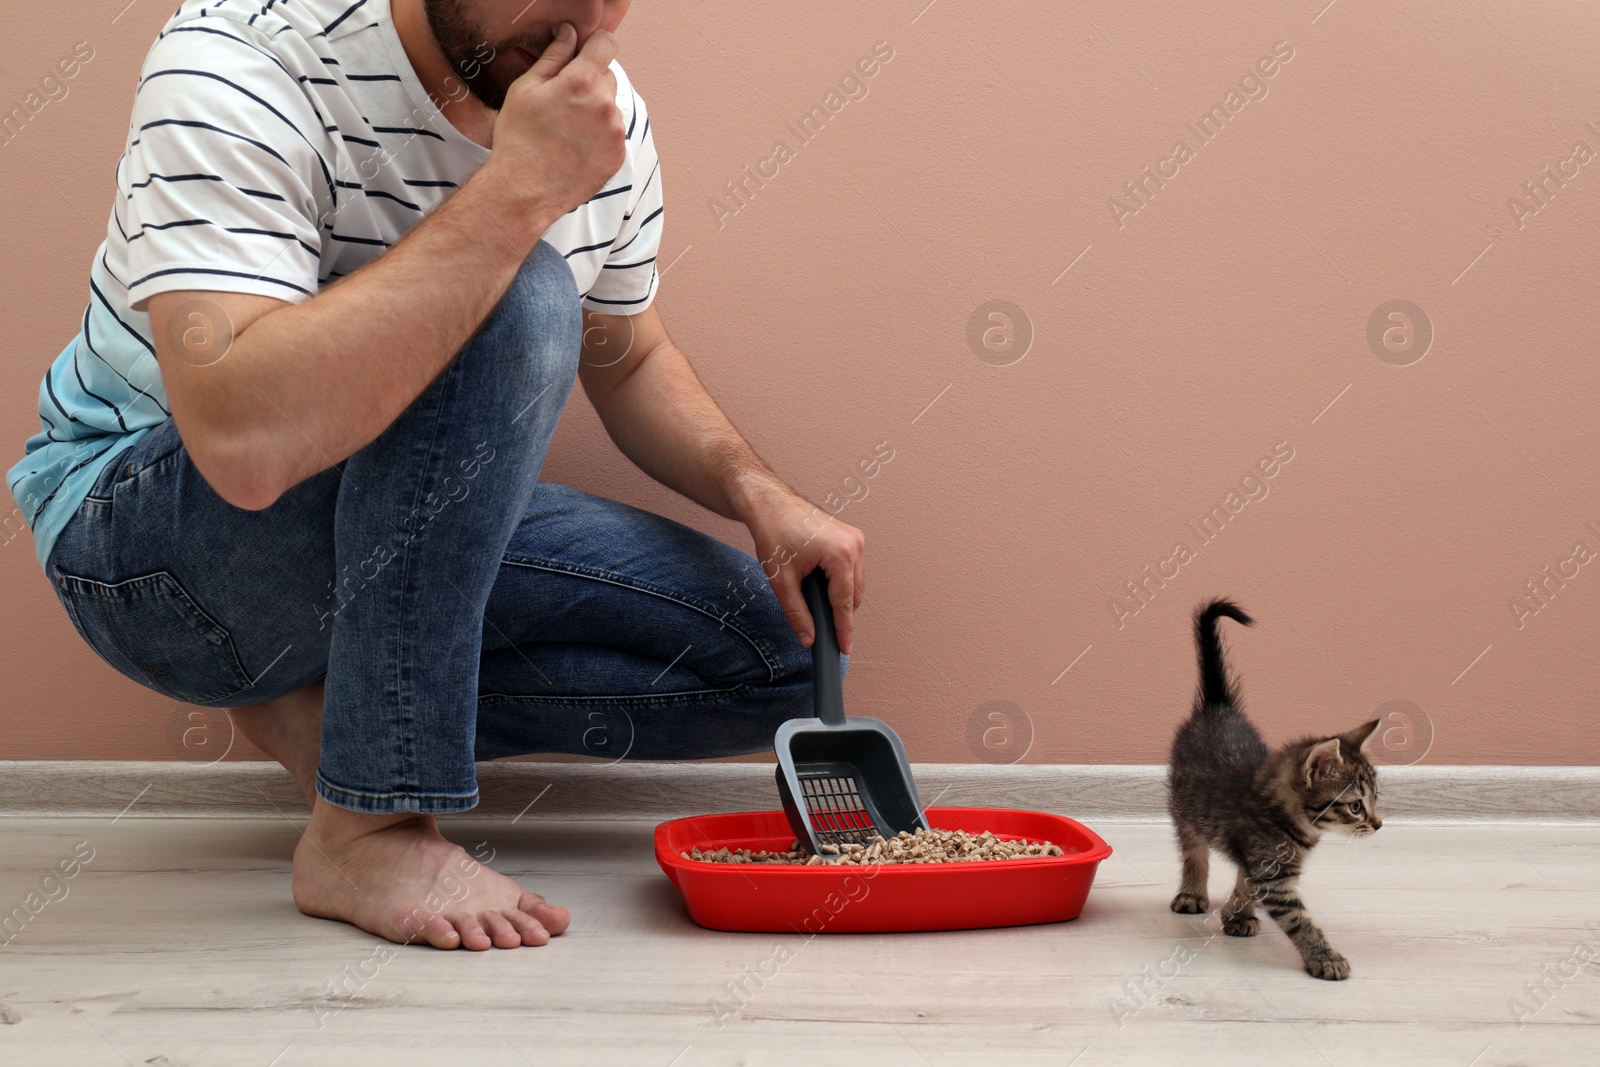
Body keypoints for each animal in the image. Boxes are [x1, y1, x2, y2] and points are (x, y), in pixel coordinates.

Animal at [1171, 598, 1382, 979]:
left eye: (1375, 798)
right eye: (1356, 806)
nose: (1378, 824)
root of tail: (1217, 706)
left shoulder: (1263, 863)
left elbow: (1247, 880)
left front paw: (1236, 913)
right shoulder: (1274, 875)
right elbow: (1300, 919)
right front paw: (1325, 957)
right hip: (1184, 808)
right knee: (1193, 852)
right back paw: (1192, 893)